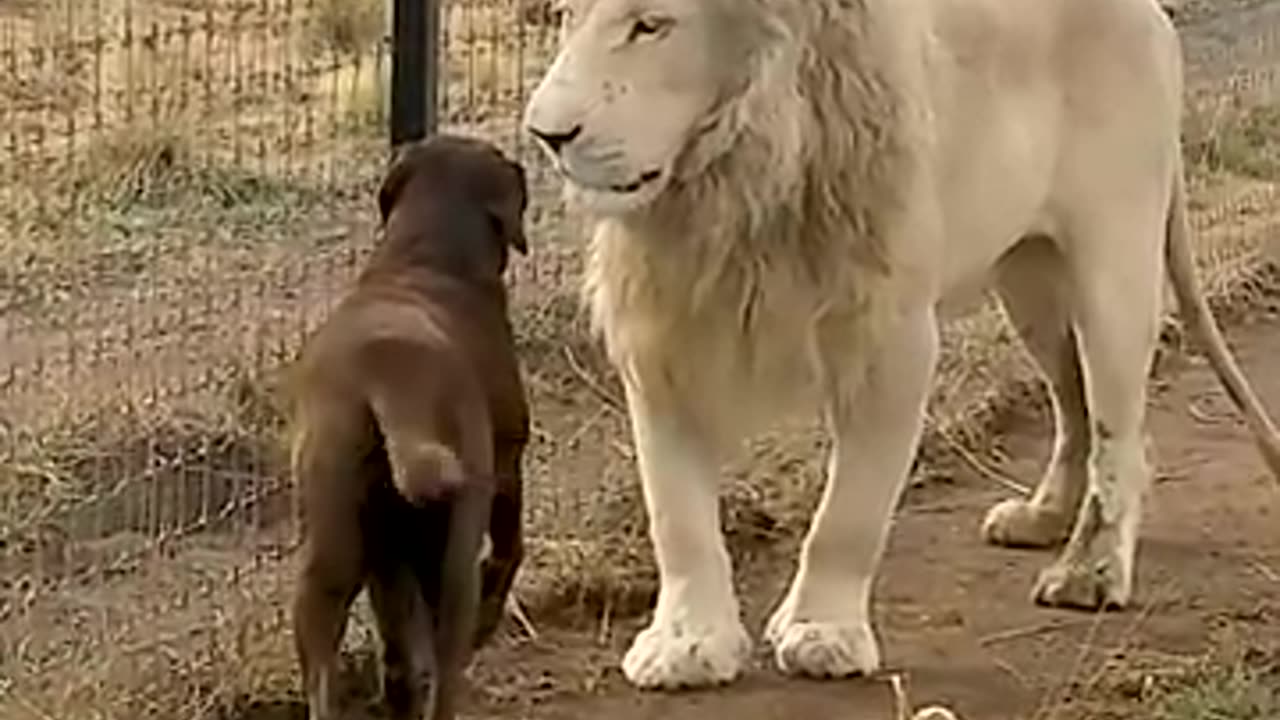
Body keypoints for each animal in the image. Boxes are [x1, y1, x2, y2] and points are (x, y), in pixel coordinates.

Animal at [286, 133, 529, 717]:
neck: (426, 255)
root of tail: (389, 375)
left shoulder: (387, 559)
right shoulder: (509, 467)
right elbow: (510, 549)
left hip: (331, 551)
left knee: (337, 672)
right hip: (453, 555)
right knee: (447, 667)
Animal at [519, 0, 1280, 691]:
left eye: (650, 25)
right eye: (565, 16)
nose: (544, 134)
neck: (729, 188)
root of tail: (1152, 13)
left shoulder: (891, 337)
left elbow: (850, 511)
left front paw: (821, 631)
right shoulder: (663, 336)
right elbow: (675, 512)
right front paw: (685, 645)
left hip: (1111, 265)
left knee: (1121, 432)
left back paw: (1090, 572)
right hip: (1028, 282)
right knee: (1075, 408)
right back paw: (1042, 517)